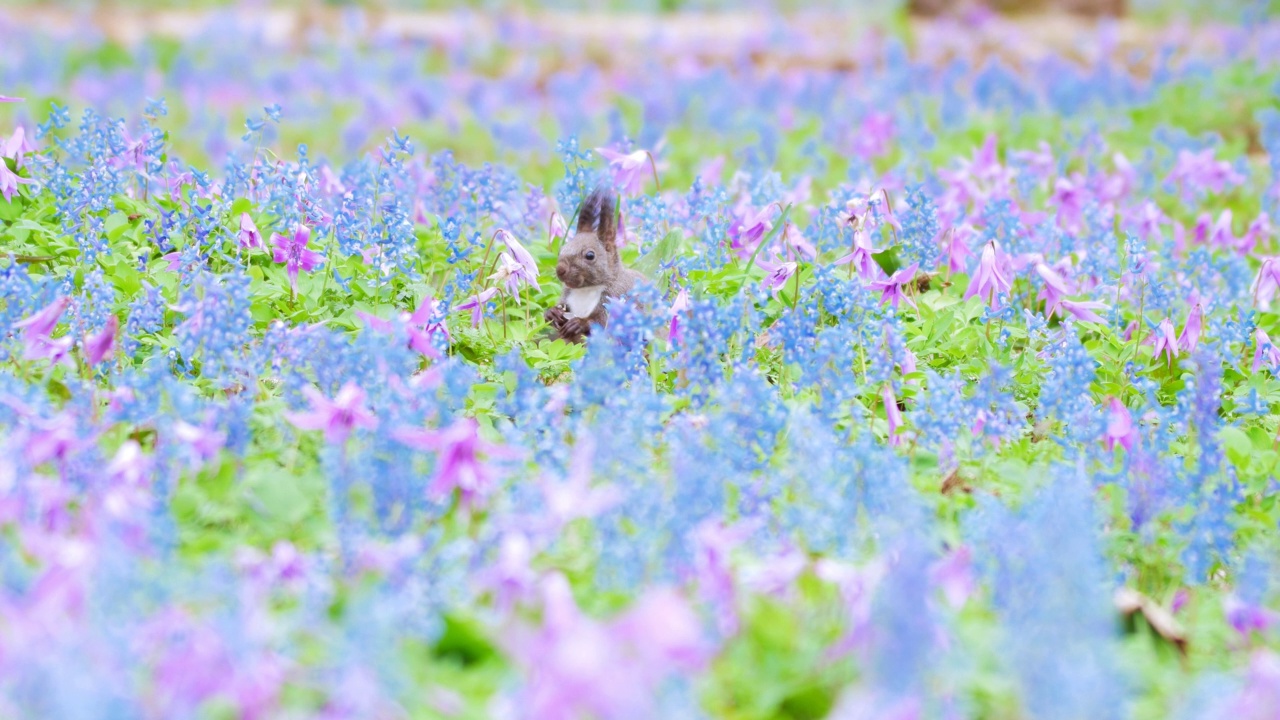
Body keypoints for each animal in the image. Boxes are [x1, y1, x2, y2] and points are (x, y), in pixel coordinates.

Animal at [542, 184, 645, 340]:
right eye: (560, 250)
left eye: (590, 255)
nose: (560, 270)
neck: (586, 290)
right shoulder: (567, 296)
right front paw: (552, 312)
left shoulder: (616, 297)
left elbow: (602, 323)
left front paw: (579, 323)